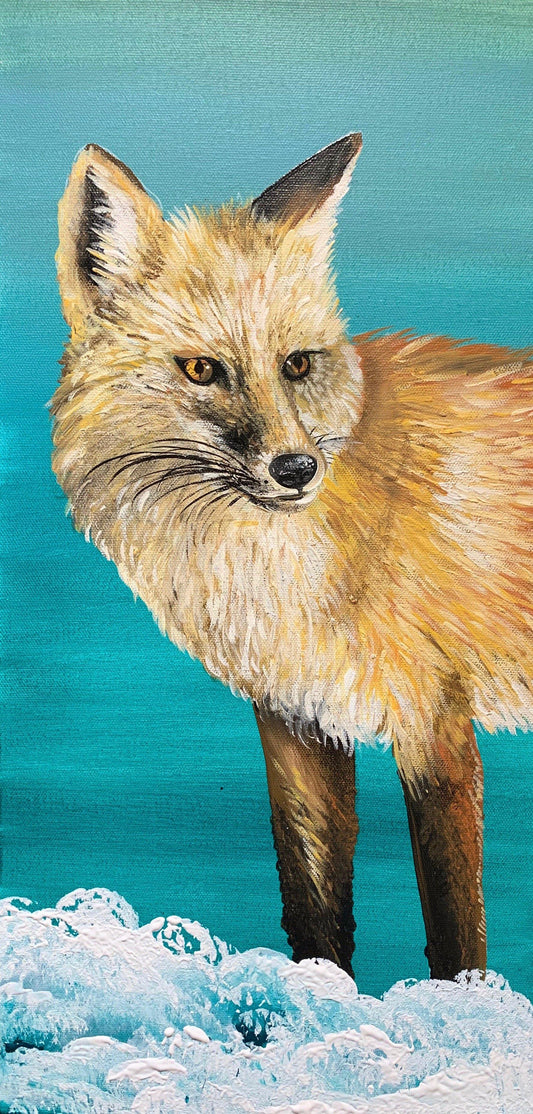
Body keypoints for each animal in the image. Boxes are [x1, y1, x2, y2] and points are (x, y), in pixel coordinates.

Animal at [51, 133, 532, 982]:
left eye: (297, 365)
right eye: (202, 369)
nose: (296, 469)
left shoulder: (435, 725)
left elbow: (454, 930)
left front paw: (471, 1003)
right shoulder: (294, 718)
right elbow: (313, 906)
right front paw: (321, 1000)